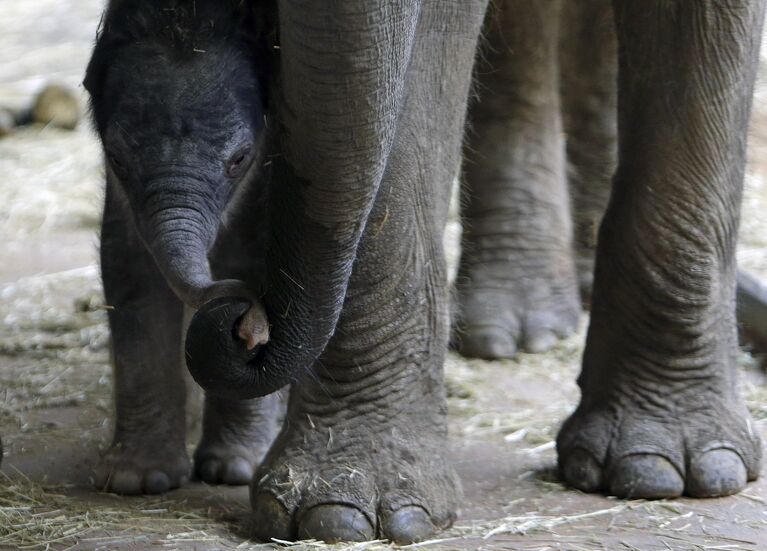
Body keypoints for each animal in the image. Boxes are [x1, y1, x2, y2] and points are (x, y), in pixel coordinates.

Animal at [87, 0, 764, 544]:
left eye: (238, 159)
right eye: (116, 156)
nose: (246, 318)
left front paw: (665, 472)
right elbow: (130, 274)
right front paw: (146, 479)